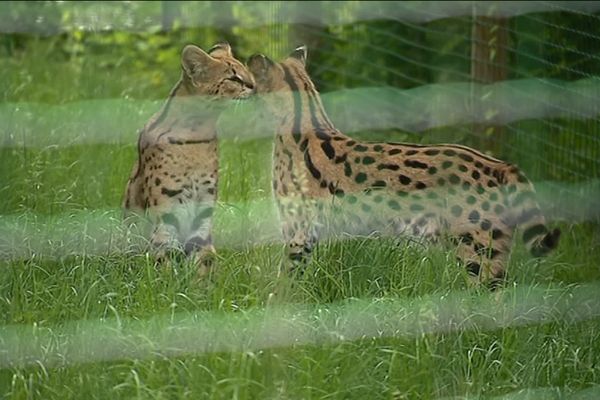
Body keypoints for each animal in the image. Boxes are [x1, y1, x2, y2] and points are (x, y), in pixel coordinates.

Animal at [123, 42, 254, 270]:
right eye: (233, 78)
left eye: (244, 71)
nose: (254, 85)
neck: (198, 131)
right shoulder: (167, 209)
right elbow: (163, 257)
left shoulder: (204, 203)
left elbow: (203, 255)